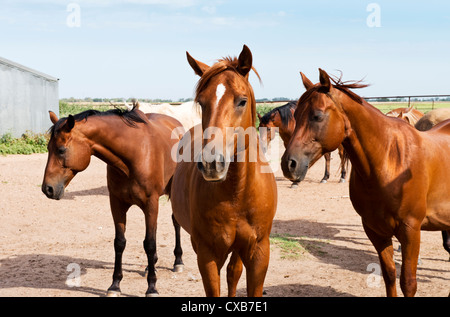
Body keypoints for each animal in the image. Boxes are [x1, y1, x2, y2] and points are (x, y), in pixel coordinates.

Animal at [40, 107, 185, 296]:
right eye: (48, 148)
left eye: (61, 150)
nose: (47, 189)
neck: (133, 155)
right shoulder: (116, 204)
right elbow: (120, 243)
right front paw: (115, 285)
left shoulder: (150, 204)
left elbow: (150, 244)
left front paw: (152, 287)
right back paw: (150, 265)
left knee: (176, 222)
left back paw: (178, 261)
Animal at [171, 45, 278, 296]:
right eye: (201, 102)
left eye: (242, 101)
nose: (212, 163)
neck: (237, 193)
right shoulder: (207, 255)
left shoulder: (258, 253)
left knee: (233, 272)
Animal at [282, 68, 450, 296]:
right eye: (295, 115)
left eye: (317, 116)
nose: (289, 164)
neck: (389, 161)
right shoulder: (376, 230)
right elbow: (389, 275)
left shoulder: (410, 230)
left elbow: (408, 282)